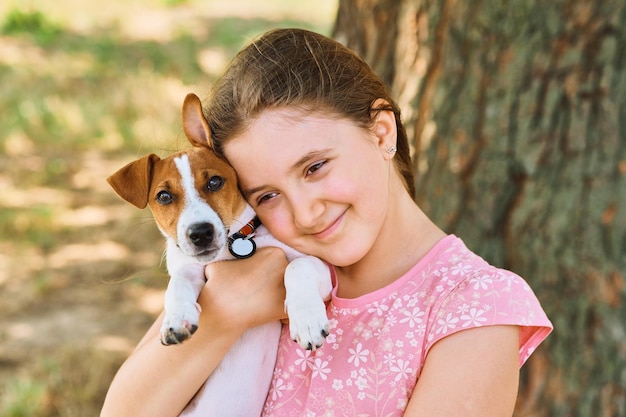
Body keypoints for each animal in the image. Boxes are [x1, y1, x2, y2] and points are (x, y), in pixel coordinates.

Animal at [107, 92, 332, 414]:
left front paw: (308, 321)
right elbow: (177, 286)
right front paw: (176, 319)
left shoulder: (323, 269)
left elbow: (296, 267)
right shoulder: (187, 269)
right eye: (164, 196)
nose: (200, 233)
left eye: (214, 181)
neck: (229, 249)